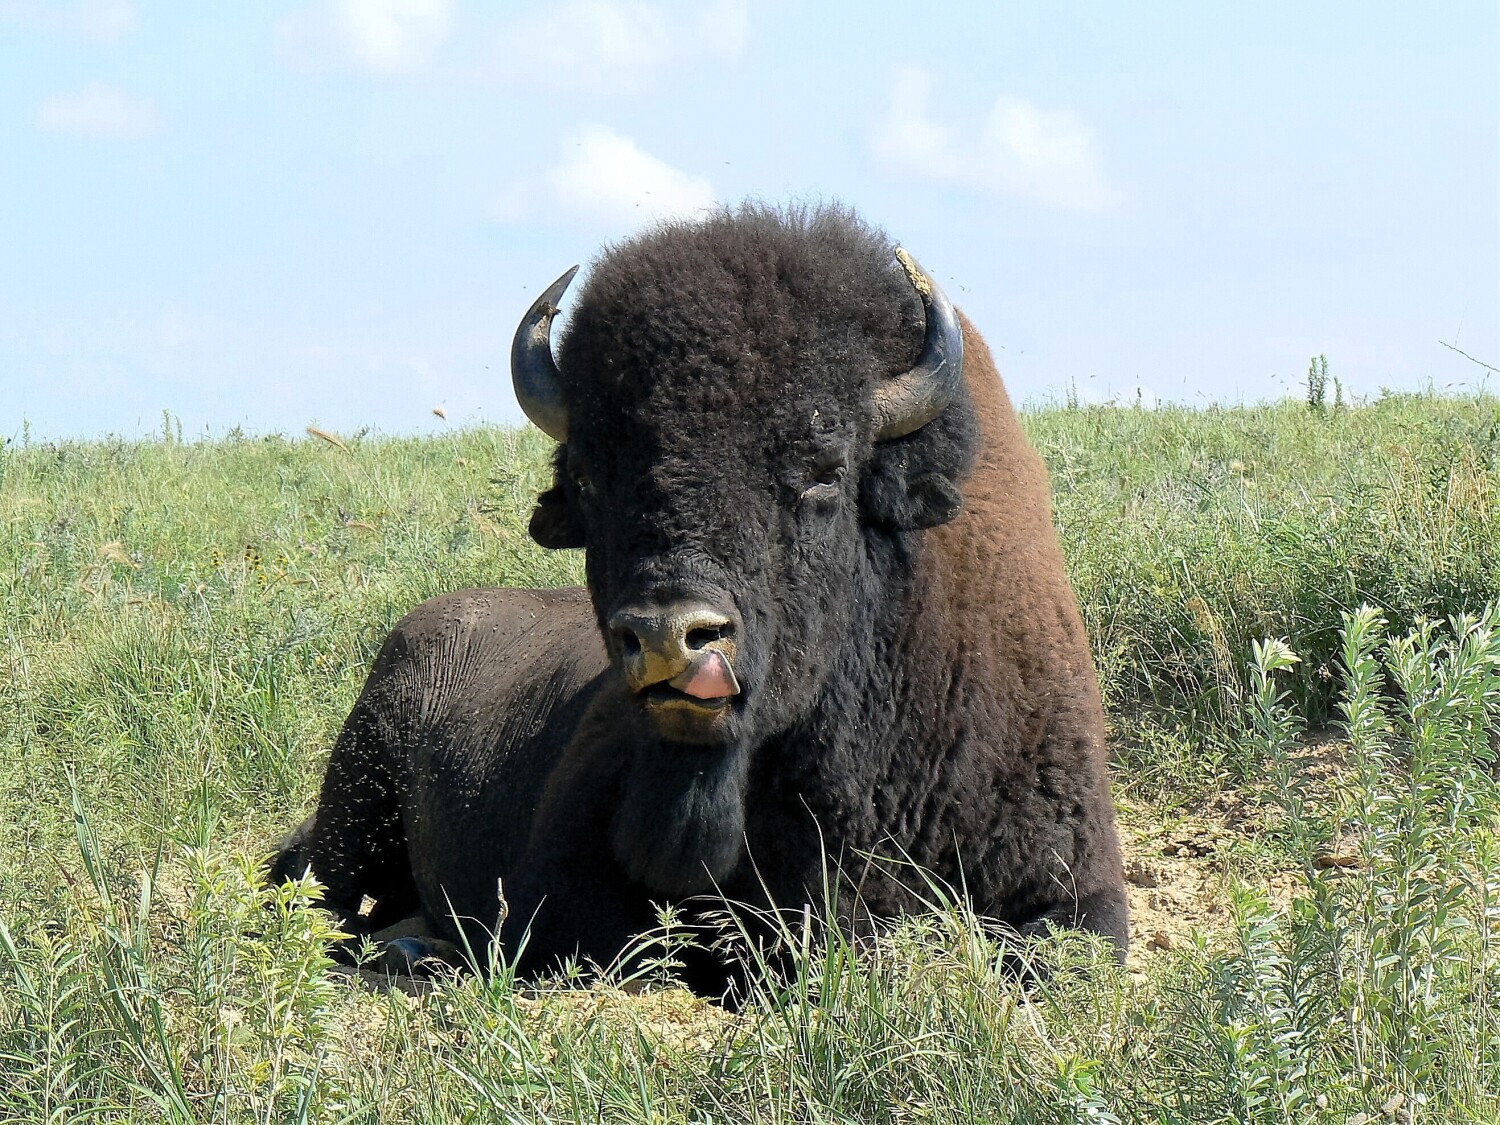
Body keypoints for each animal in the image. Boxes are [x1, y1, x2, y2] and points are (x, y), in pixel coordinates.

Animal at [271, 204, 1128, 993]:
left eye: (823, 469)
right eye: (590, 475)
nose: (667, 634)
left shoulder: (1081, 893)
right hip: (353, 804)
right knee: (322, 903)